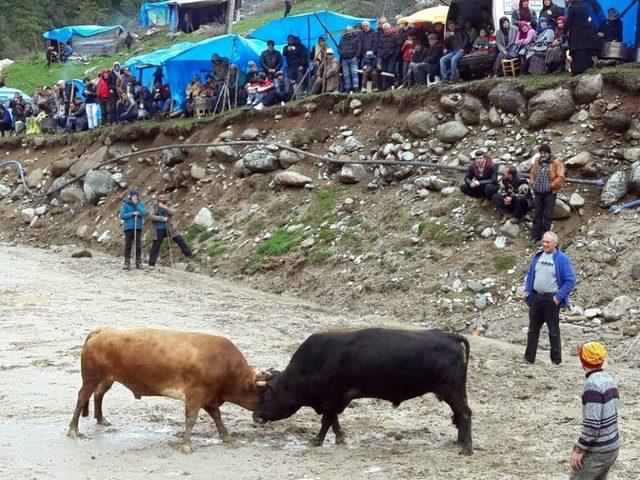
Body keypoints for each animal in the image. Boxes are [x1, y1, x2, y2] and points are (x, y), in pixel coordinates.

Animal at [68, 328, 262, 452]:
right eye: (265, 392)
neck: (224, 363)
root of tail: (102, 331)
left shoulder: (208, 397)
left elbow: (216, 416)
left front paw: (226, 436)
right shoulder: (195, 395)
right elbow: (191, 419)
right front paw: (187, 444)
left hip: (107, 378)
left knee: (98, 394)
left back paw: (101, 419)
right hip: (90, 379)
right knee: (81, 398)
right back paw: (73, 430)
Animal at [252, 326, 472, 454]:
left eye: (267, 394)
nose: (256, 415)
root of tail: (450, 336)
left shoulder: (331, 397)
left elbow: (326, 420)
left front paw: (316, 440)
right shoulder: (335, 399)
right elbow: (333, 420)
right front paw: (339, 438)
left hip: (451, 390)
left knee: (465, 414)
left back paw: (466, 448)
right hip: (457, 392)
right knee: (460, 415)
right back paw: (459, 442)